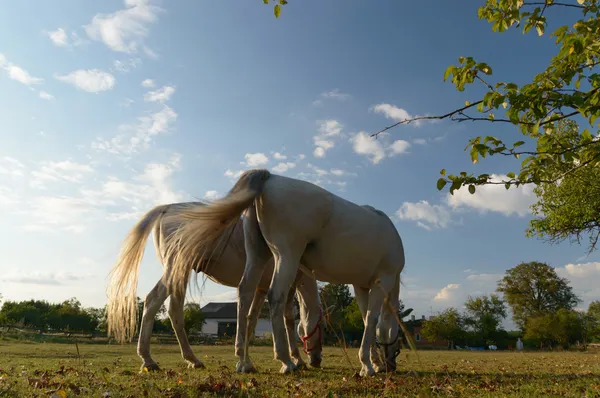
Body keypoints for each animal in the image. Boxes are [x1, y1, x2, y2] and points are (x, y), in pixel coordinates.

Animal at [106, 202, 324, 374]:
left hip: (181, 273)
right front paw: (296, 360)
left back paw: (192, 360)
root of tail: (166, 208)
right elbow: (288, 320)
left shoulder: (261, 289)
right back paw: (149, 360)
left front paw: (246, 361)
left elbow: (251, 320)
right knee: (153, 301)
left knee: (174, 311)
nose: (317, 360)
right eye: (321, 326)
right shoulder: (287, 287)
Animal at [166, 170, 406, 376]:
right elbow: (373, 319)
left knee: (245, 293)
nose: (391, 366)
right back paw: (286, 362)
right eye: (400, 341)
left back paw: (244, 361)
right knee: (275, 297)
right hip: (287, 258)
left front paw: (372, 362)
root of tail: (270, 177)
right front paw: (368, 365)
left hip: (258, 257)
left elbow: (366, 320)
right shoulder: (382, 282)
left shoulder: (361, 286)